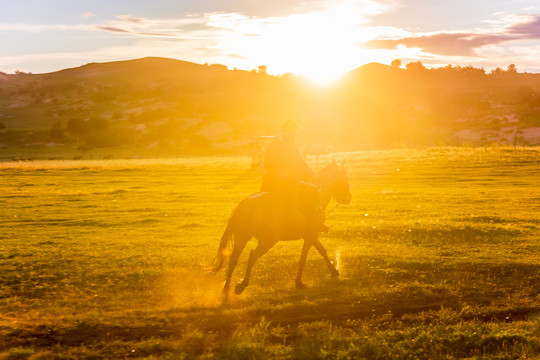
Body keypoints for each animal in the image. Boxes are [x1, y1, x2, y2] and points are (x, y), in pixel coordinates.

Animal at [211, 160, 350, 296]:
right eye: (345, 178)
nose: (349, 197)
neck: (318, 197)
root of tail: (246, 203)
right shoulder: (310, 237)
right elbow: (303, 258)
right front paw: (299, 282)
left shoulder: (312, 235)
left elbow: (322, 251)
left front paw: (334, 271)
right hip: (268, 240)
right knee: (253, 255)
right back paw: (242, 284)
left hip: (242, 237)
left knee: (234, 258)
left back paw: (227, 286)